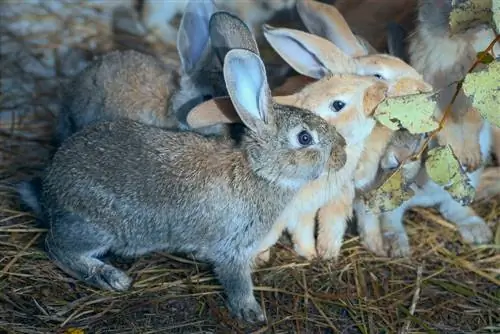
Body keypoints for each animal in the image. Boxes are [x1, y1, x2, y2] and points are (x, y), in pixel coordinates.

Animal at [18, 48, 348, 322]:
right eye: (304, 138)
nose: (342, 153)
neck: (258, 170)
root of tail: (50, 190)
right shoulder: (233, 247)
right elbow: (237, 281)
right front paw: (252, 313)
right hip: (96, 228)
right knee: (56, 247)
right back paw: (110, 277)